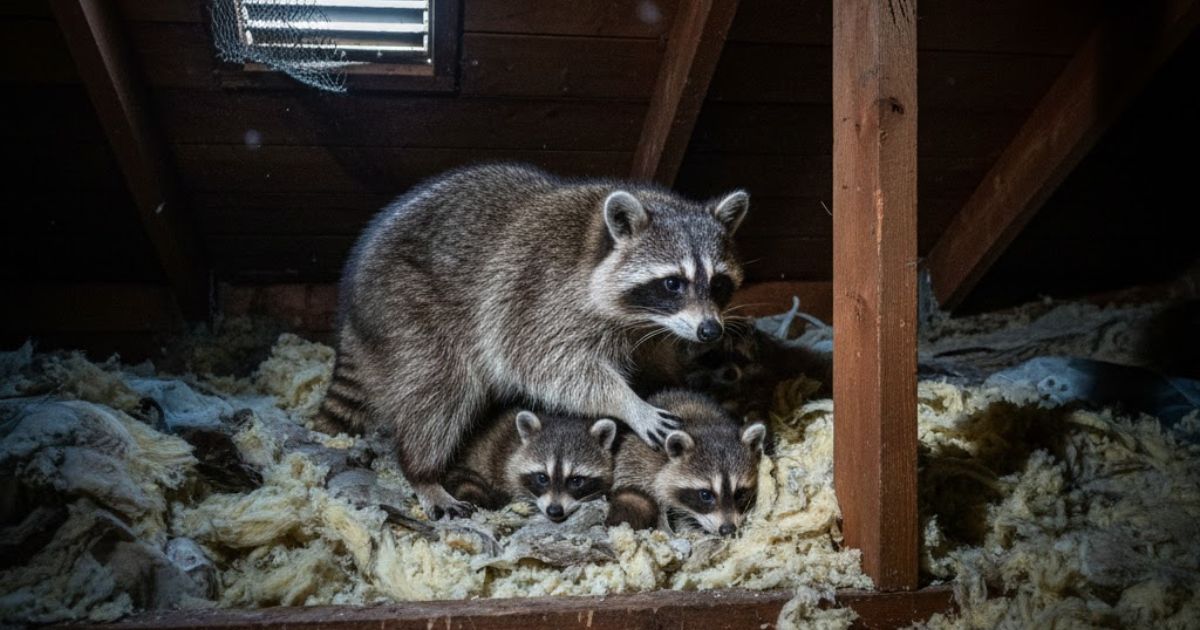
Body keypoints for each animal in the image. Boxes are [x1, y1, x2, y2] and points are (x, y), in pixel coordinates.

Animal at [606, 389, 766, 536]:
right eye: (705, 495)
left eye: (740, 493)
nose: (727, 529)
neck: (707, 425)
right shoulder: (646, 465)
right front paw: (665, 529)